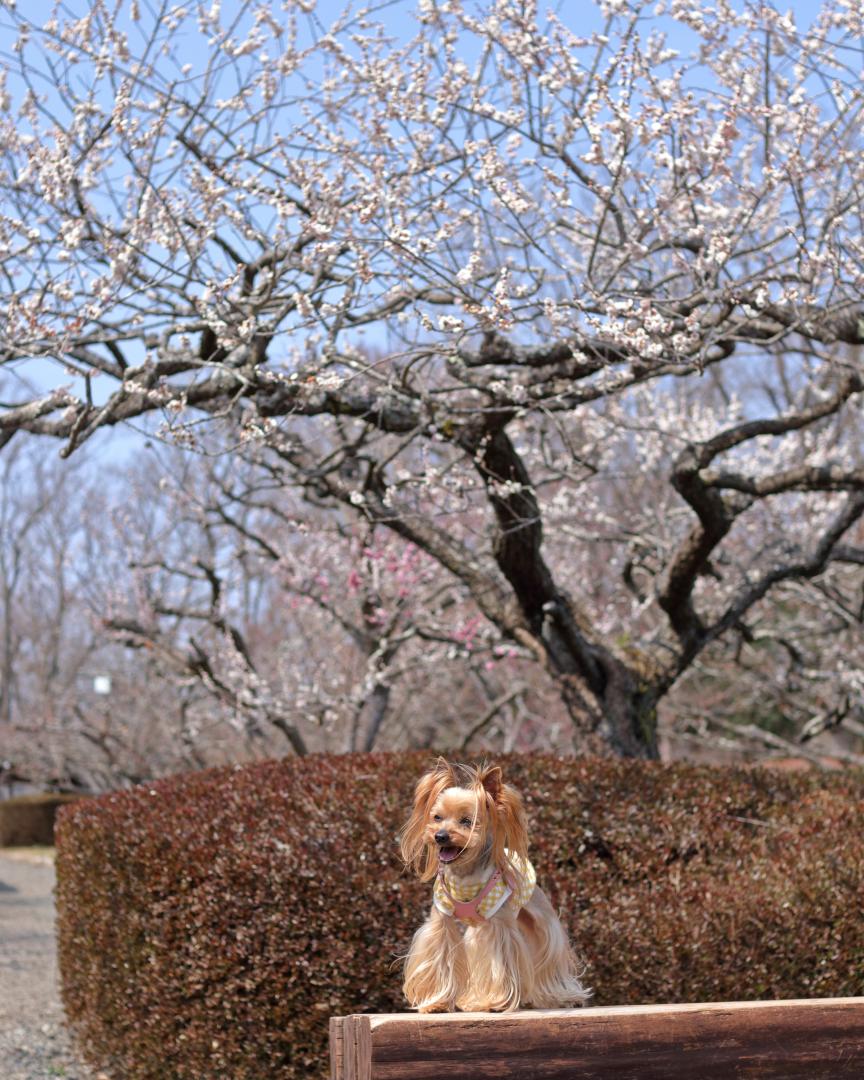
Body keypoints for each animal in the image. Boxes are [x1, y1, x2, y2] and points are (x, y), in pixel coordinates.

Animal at [401, 760, 591, 1010]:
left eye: (467, 821)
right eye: (437, 817)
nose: (440, 836)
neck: (464, 874)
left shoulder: (500, 925)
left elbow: (499, 963)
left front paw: (496, 1003)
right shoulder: (441, 921)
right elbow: (440, 955)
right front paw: (436, 1004)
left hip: (540, 920)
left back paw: (562, 996)